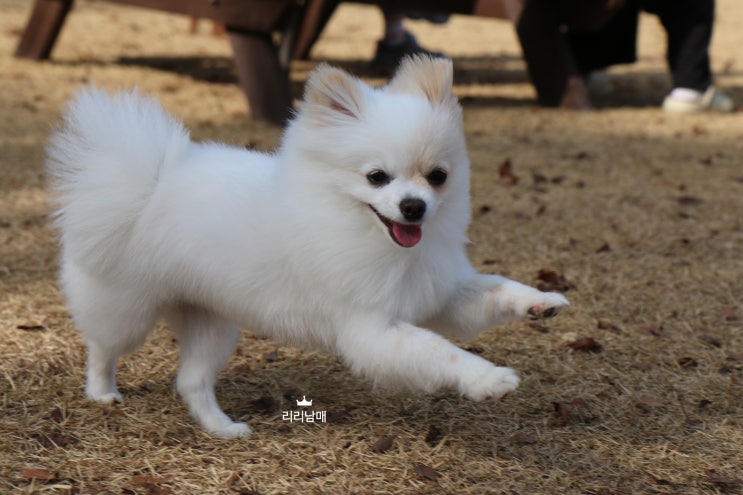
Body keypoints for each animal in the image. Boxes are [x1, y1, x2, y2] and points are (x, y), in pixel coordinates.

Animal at [48, 56, 568, 440]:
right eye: (376, 177)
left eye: (437, 176)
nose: (414, 206)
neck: (360, 226)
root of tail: (147, 183)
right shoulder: (370, 329)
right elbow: (441, 352)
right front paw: (489, 379)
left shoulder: (435, 294)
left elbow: (494, 288)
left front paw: (541, 301)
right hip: (128, 310)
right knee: (102, 348)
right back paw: (102, 392)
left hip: (211, 323)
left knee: (191, 381)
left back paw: (222, 428)